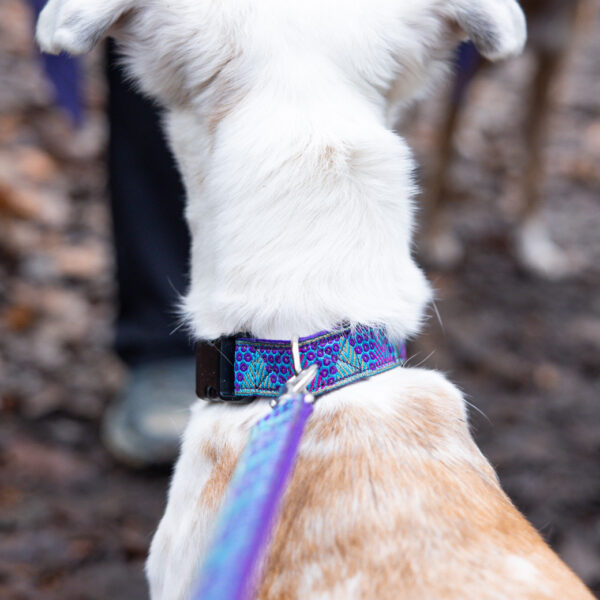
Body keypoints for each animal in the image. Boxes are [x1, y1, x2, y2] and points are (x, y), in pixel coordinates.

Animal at [420, 0, 584, 278]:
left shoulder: (555, 55)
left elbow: (536, 158)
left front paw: (533, 243)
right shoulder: (459, 64)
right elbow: (445, 155)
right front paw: (435, 235)